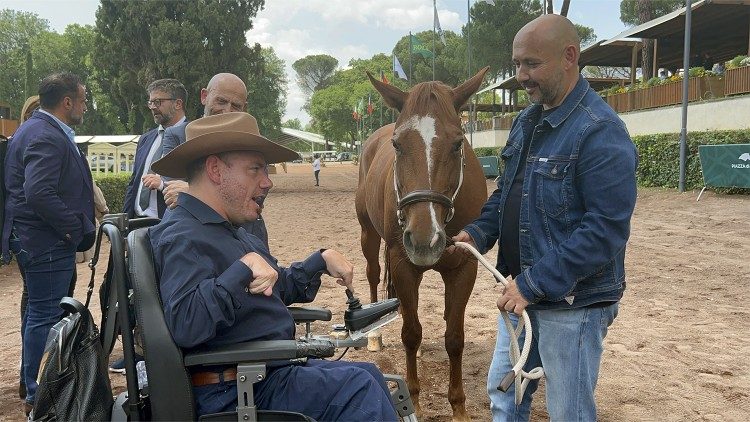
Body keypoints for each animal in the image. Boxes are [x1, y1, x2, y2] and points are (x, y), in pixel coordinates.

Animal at [356, 67, 490, 420]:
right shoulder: (403, 262)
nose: (423, 239)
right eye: (398, 145)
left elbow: (454, 337)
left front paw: (458, 407)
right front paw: (413, 401)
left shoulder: (464, 266)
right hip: (369, 235)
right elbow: (411, 334)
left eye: (457, 144)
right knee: (374, 275)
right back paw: (375, 335)